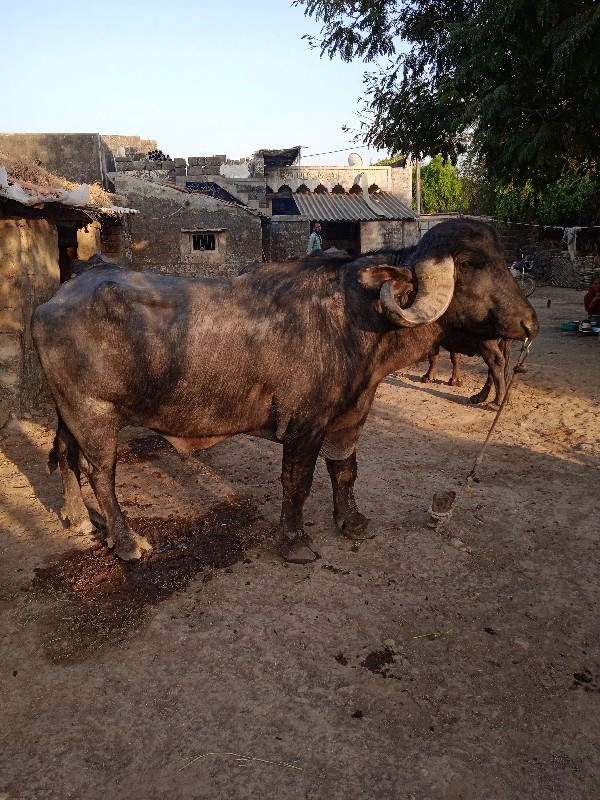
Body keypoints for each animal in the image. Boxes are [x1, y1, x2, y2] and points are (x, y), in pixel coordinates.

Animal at [31, 219, 540, 564]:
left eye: (502, 261)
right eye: (470, 265)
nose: (528, 324)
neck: (358, 318)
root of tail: (54, 300)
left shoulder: (349, 418)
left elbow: (345, 472)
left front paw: (351, 522)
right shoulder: (304, 426)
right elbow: (299, 481)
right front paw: (294, 542)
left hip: (68, 412)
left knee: (67, 456)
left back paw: (79, 518)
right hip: (94, 414)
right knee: (101, 473)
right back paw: (127, 542)